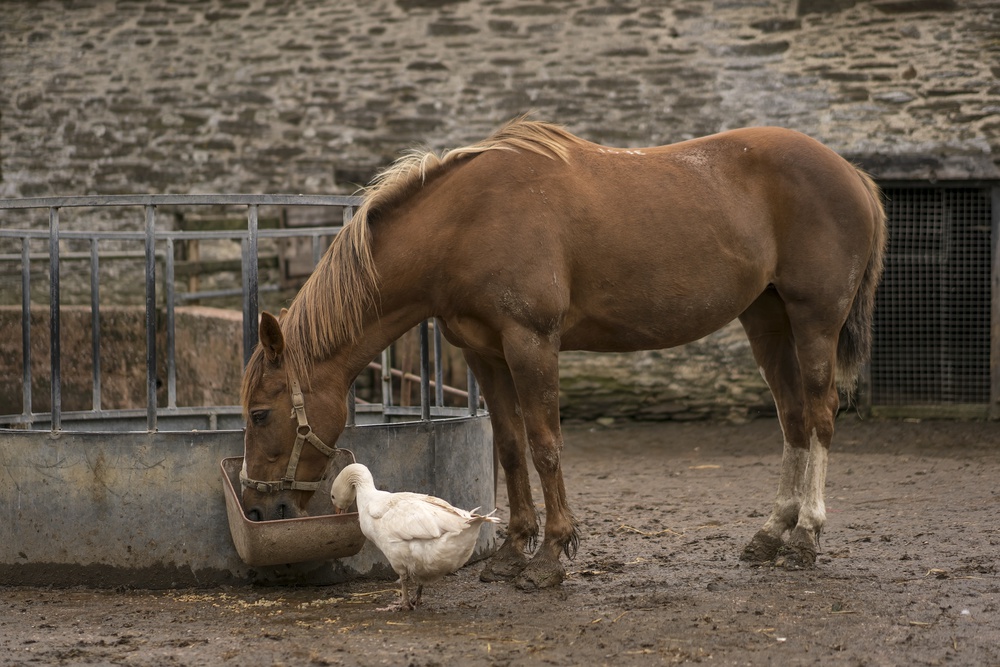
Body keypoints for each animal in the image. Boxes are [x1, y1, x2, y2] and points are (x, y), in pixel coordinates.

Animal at [238, 117, 888, 592]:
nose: (261, 505)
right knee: (793, 419)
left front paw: (551, 556)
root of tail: (851, 172)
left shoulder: (532, 343)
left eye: (260, 414)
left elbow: (546, 445)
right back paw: (771, 533)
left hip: (814, 320)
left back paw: (805, 537)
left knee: (821, 417)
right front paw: (511, 553)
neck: (465, 222)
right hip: (767, 320)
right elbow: (509, 448)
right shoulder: (486, 354)